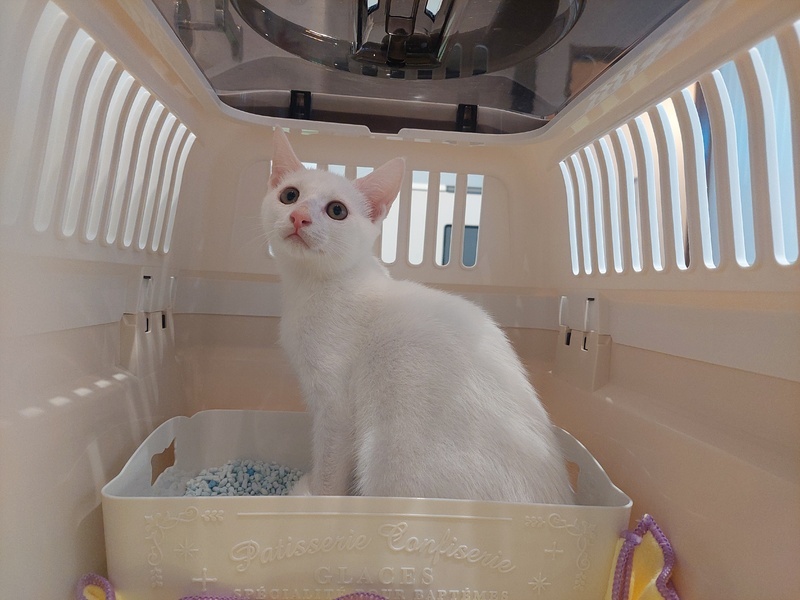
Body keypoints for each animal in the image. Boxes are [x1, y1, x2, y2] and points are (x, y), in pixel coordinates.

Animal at [262, 128, 574, 504]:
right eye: (289, 195)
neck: (310, 286)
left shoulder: (335, 407)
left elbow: (330, 465)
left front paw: (318, 499)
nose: (299, 216)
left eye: (337, 210)